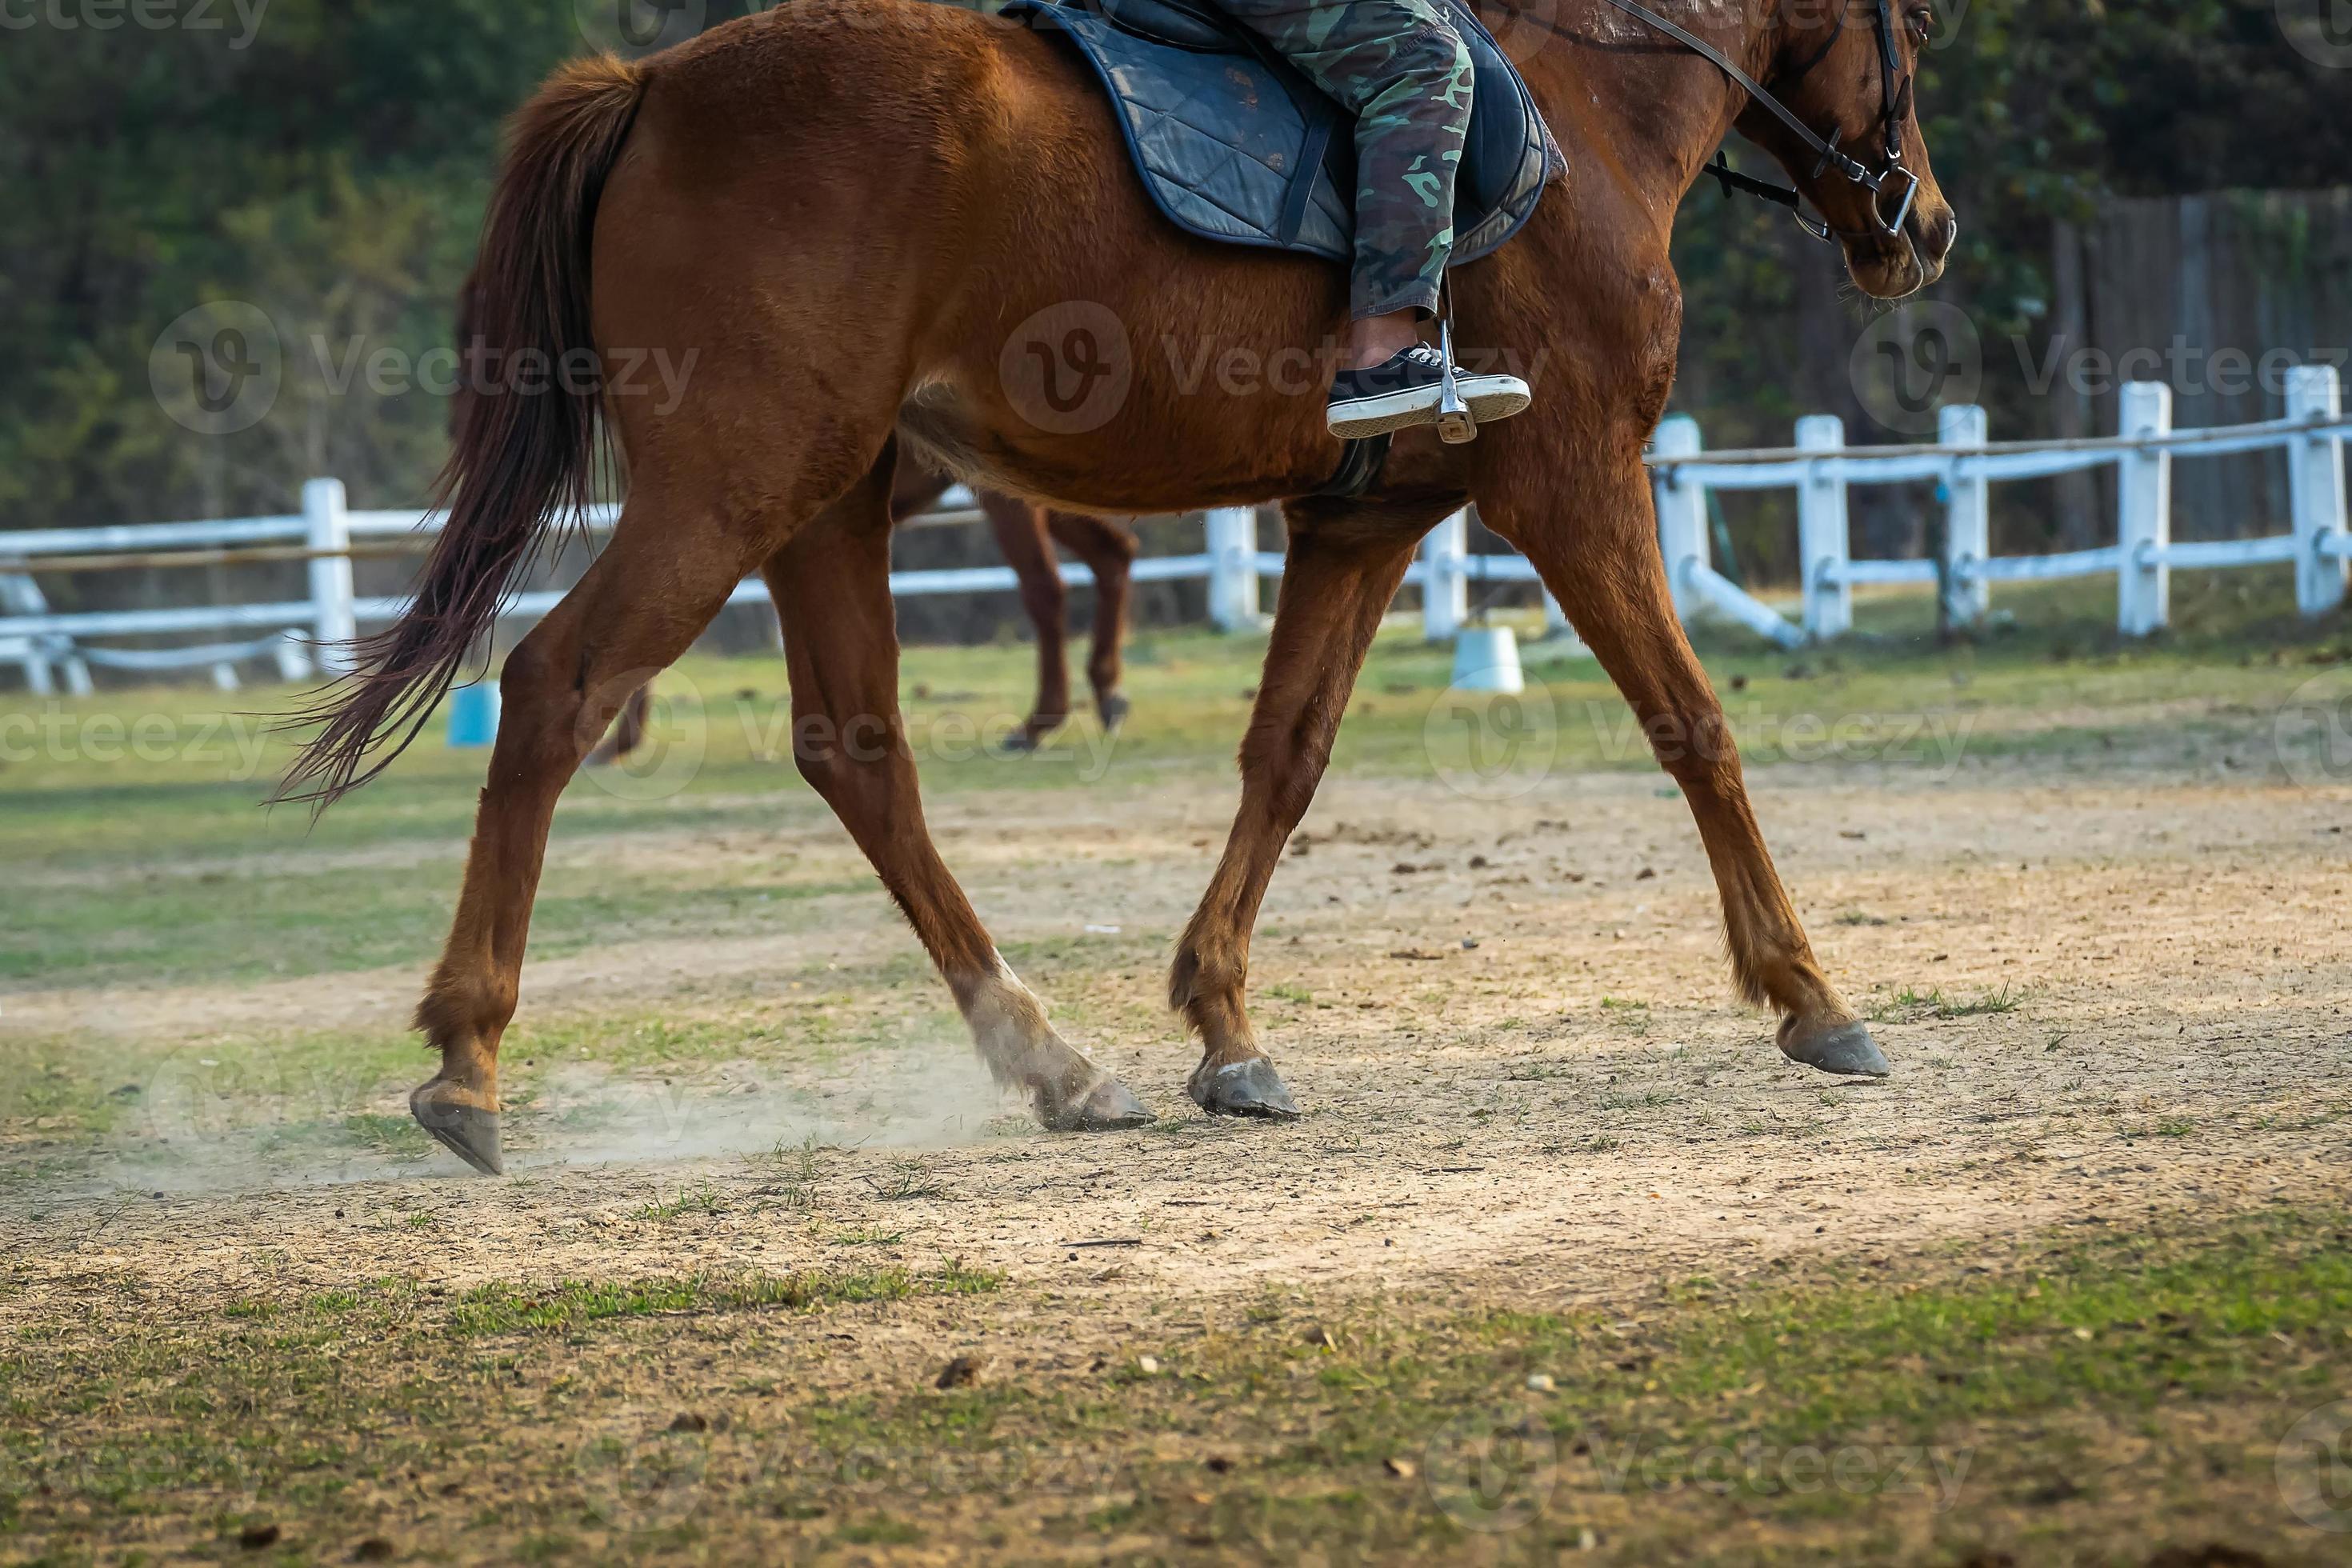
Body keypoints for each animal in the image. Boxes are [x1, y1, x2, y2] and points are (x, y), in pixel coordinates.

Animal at [284, 0, 1957, 1175]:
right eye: (1921, 32)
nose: (1923, 225)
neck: (1587, 108)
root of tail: (651, 85)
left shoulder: (1366, 522)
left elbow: (1285, 758)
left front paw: (1223, 1027)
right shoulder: (1577, 479)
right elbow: (1693, 722)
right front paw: (1811, 995)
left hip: (826, 502)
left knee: (857, 751)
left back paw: (1054, 1063)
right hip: (733, 490)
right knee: (557, 688)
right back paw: (468, 1060)